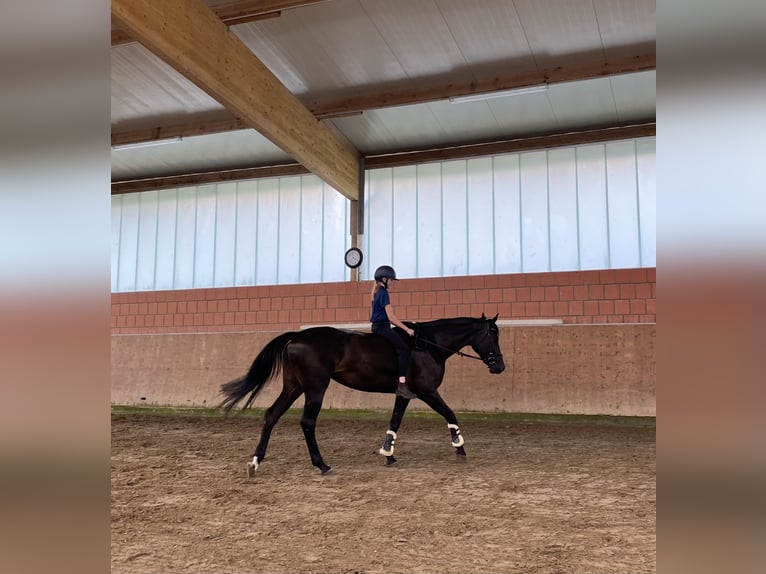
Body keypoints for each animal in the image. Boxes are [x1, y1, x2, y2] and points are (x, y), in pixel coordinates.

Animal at [219, 316, 508, 476]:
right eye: (492, 335)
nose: (499, 367)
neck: (429, 345)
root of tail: (297, 336)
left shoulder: (406, 394)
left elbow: (395, 422)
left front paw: (388, 454)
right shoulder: (427, 391)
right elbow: (450, 413)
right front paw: (460, 446)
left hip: (293, 387)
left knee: (272, 416)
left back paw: (255, 463)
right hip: (315, 387)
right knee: (307, 422)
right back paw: (322, 465)